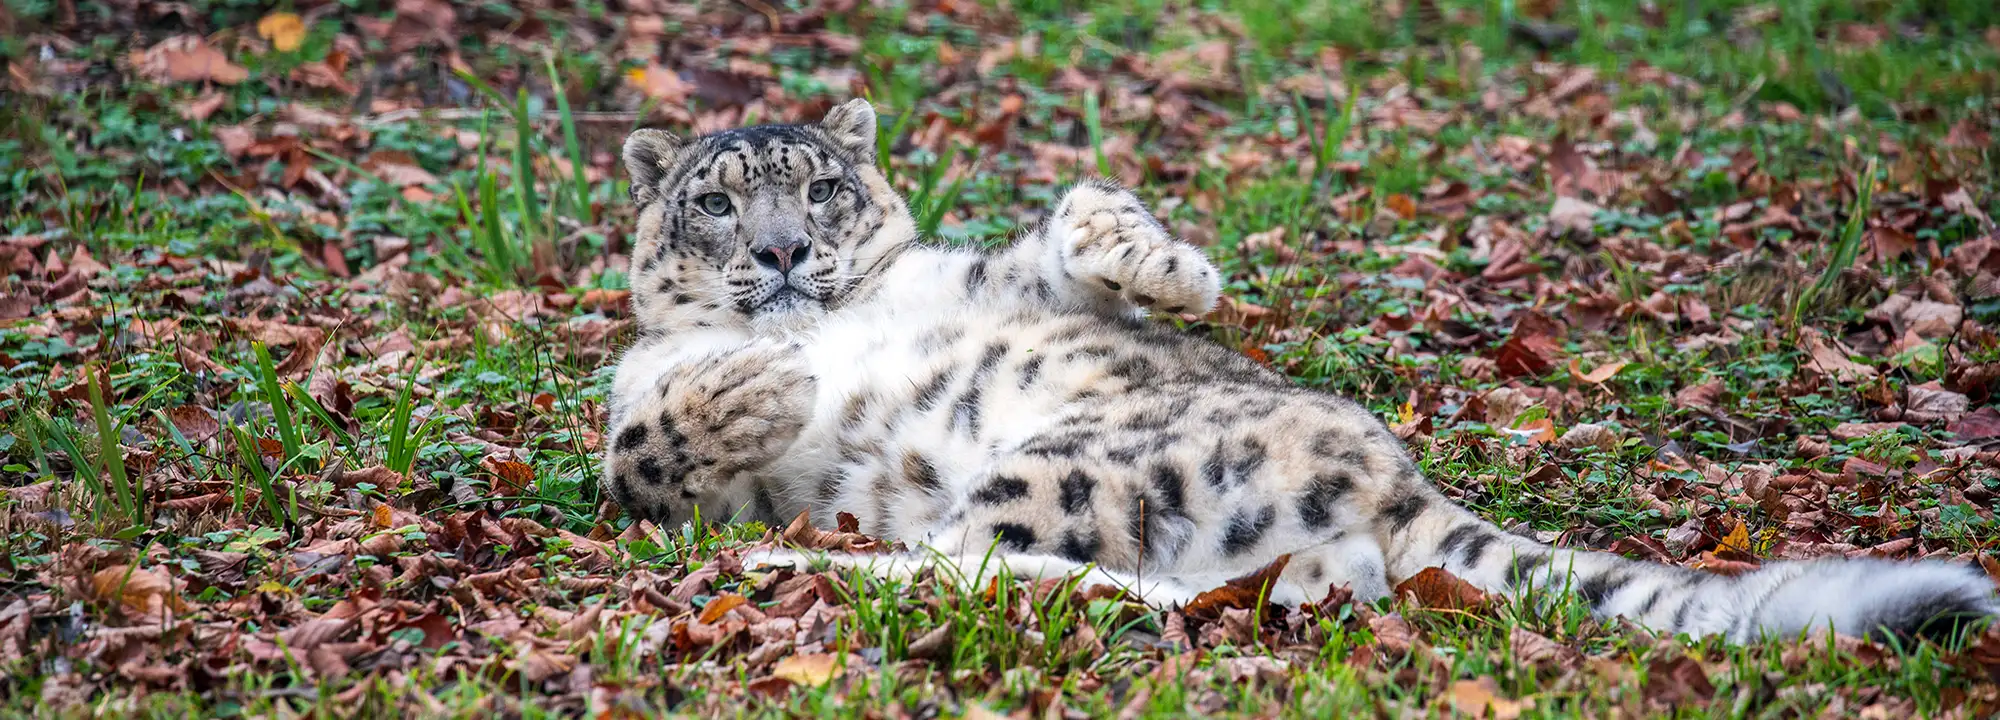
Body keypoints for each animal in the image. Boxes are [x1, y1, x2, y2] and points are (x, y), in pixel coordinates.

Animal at [599, 98, 1998, 641]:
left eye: (822, 189)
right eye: (715, 202)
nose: (782, 254)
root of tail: (1394, 479)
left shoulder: (1005, 281)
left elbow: (1078, 217)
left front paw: (1168, 269)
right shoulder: (662, 449)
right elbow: (643, 440)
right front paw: (764, 385)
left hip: (1070, 456)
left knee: (1034, 566)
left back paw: (809, 563)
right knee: (1109, 577)